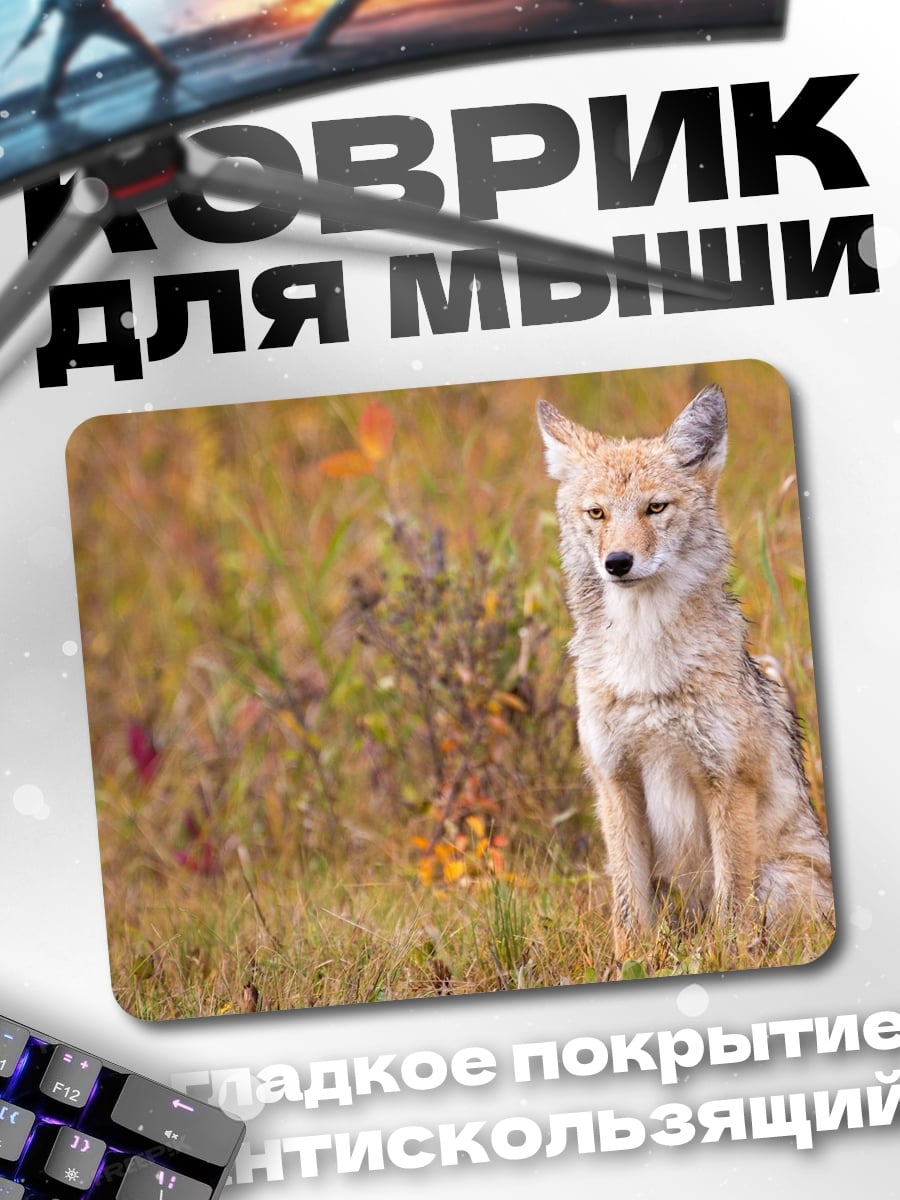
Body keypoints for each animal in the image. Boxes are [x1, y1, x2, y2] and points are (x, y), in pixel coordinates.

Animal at [536, 384, 833, 959]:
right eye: (597, 513)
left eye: (655, 508)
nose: (618, 562)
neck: (642, 662)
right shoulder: (615, 782)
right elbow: (628, 906)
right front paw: (629, 964)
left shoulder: (728, 783)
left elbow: (731, 905)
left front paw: (728, 959)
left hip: (779, 880)